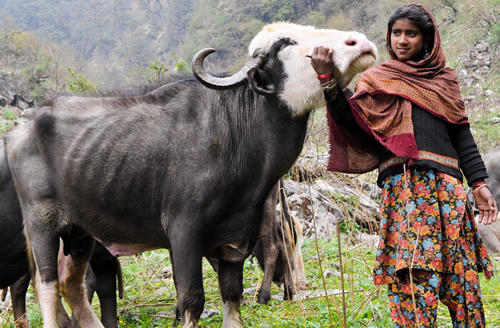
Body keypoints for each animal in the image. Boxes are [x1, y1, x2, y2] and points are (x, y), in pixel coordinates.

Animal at [3, 21, 376, 326]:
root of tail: (21, 129)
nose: (360, 42)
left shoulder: (236, 240)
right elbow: (191, 300)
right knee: (46, 285)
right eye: (285, 43)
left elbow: (232, 298)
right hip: (42, 225)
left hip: (81, 232)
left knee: (72, 285)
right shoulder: (184, 233)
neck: (239, 134)